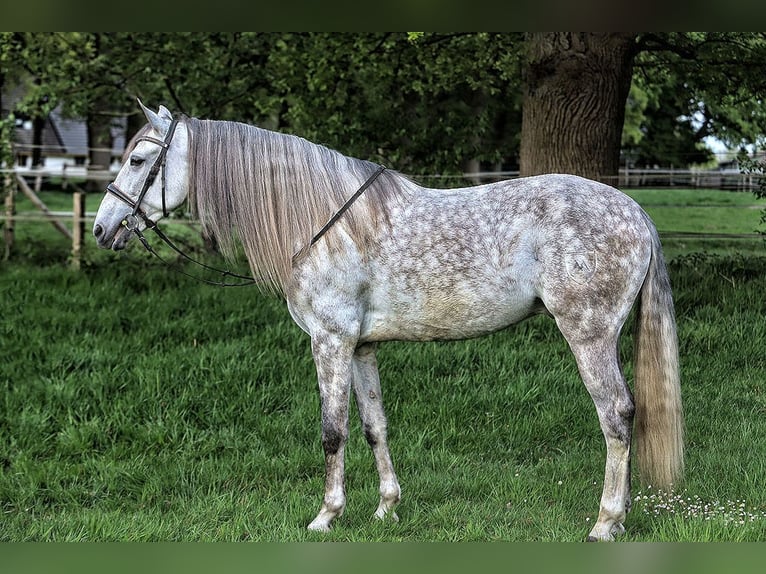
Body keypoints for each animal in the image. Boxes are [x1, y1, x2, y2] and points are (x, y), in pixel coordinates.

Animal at [93, 101, 683, 541]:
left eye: (140, 160)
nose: (103, 228)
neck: (324, 221)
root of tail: (634, 211)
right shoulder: (361, 347)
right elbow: (374, 426)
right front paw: (386, 509)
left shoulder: (330, 341)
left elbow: (332, 432)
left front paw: (326, 516)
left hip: (588, 335)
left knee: (616, 416)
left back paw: (605, 523)